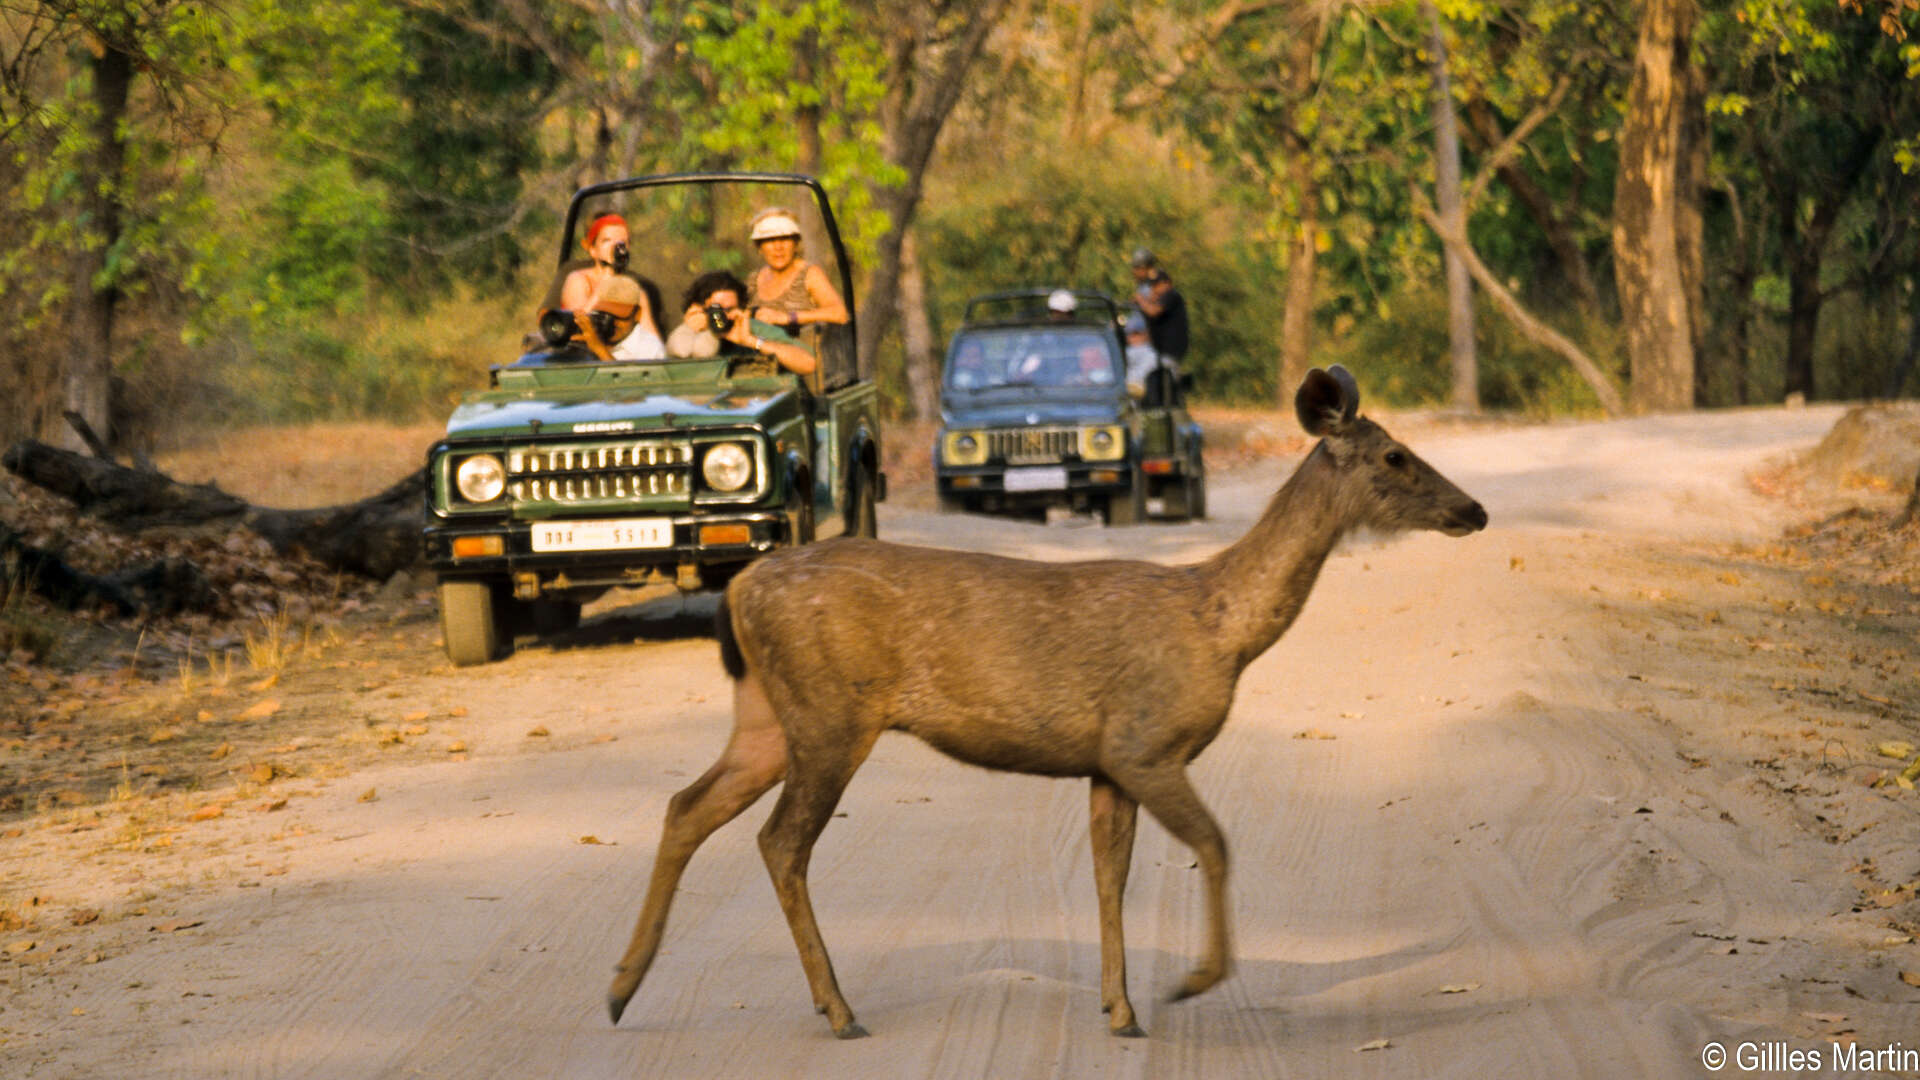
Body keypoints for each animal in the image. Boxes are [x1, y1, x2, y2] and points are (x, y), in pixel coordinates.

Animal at [599, 367, 1482, 1037]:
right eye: (1396, 454)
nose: (1472, 509)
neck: (1221, 627)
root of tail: (740, 588)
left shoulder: (1107, 764)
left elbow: (1108, 874)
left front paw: (1120, 1008)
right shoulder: (1145, 743)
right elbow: (1216, 844)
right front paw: (1190, 982)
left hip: (768, 716)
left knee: (687, 805)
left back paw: (620, 988)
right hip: (829, 714)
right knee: (780, 840)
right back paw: (838, 1009)